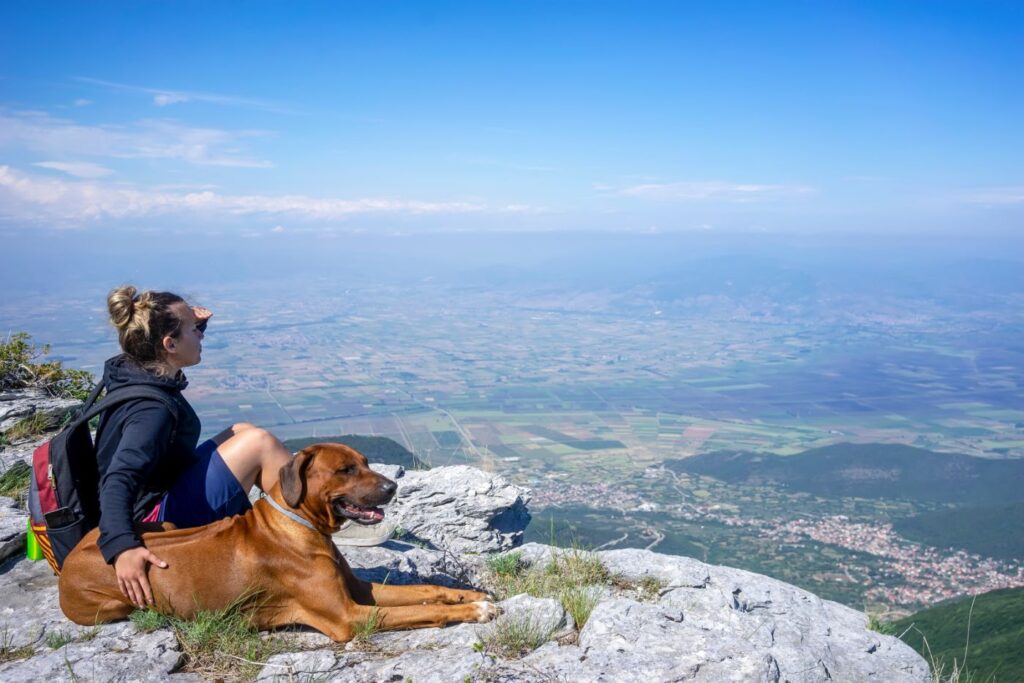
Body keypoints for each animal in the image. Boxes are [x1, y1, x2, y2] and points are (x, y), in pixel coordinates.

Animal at [58, 444, 497, 643]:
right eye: (345, 469)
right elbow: (420, 610)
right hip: (114, 604)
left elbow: (424, 590)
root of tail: (72, 556)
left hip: (163, 523)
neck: (297, 525)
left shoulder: (359, 591)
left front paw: (470, 595)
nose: (393, 487)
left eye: (367, 462)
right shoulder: (350, 616)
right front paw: (474, 611)